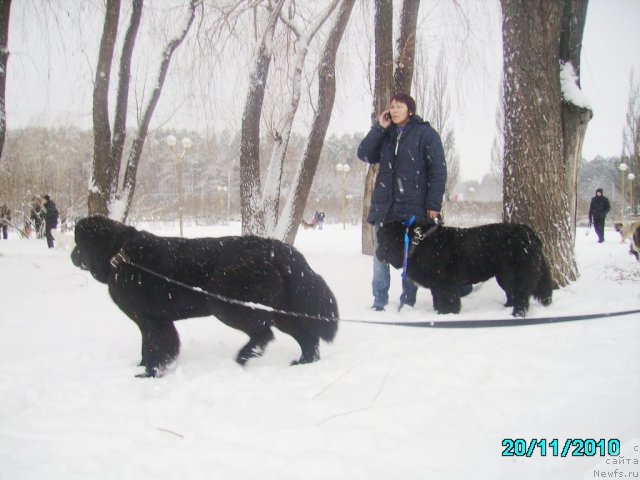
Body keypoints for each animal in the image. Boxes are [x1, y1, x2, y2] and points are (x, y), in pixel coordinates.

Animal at [70, 216, 340, 376]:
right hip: (282, 310)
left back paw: (243, 357)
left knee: (264, 334)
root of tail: (279, 249)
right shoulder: (153, 321)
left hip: (224, 304)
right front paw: (142, 367)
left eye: (78, 243)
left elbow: (155, 346)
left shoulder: (151, 321)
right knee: (306, 337)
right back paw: (304, 362)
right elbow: (147, 346)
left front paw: (150, 373)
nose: (72, 256)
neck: (119, 254)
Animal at [378, 219, 552, 316]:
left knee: (521, 295)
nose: (377, 253)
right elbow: (439, 299)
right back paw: (506, 309)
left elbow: (448, 300)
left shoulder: (446, 284)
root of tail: (531, 234)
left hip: (515, 274)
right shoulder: (437, 285)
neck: (418, 243)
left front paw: (447, 314)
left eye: (383, 240)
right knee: (512, 294)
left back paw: (516, 314)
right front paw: (440, 312)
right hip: (503, 276)